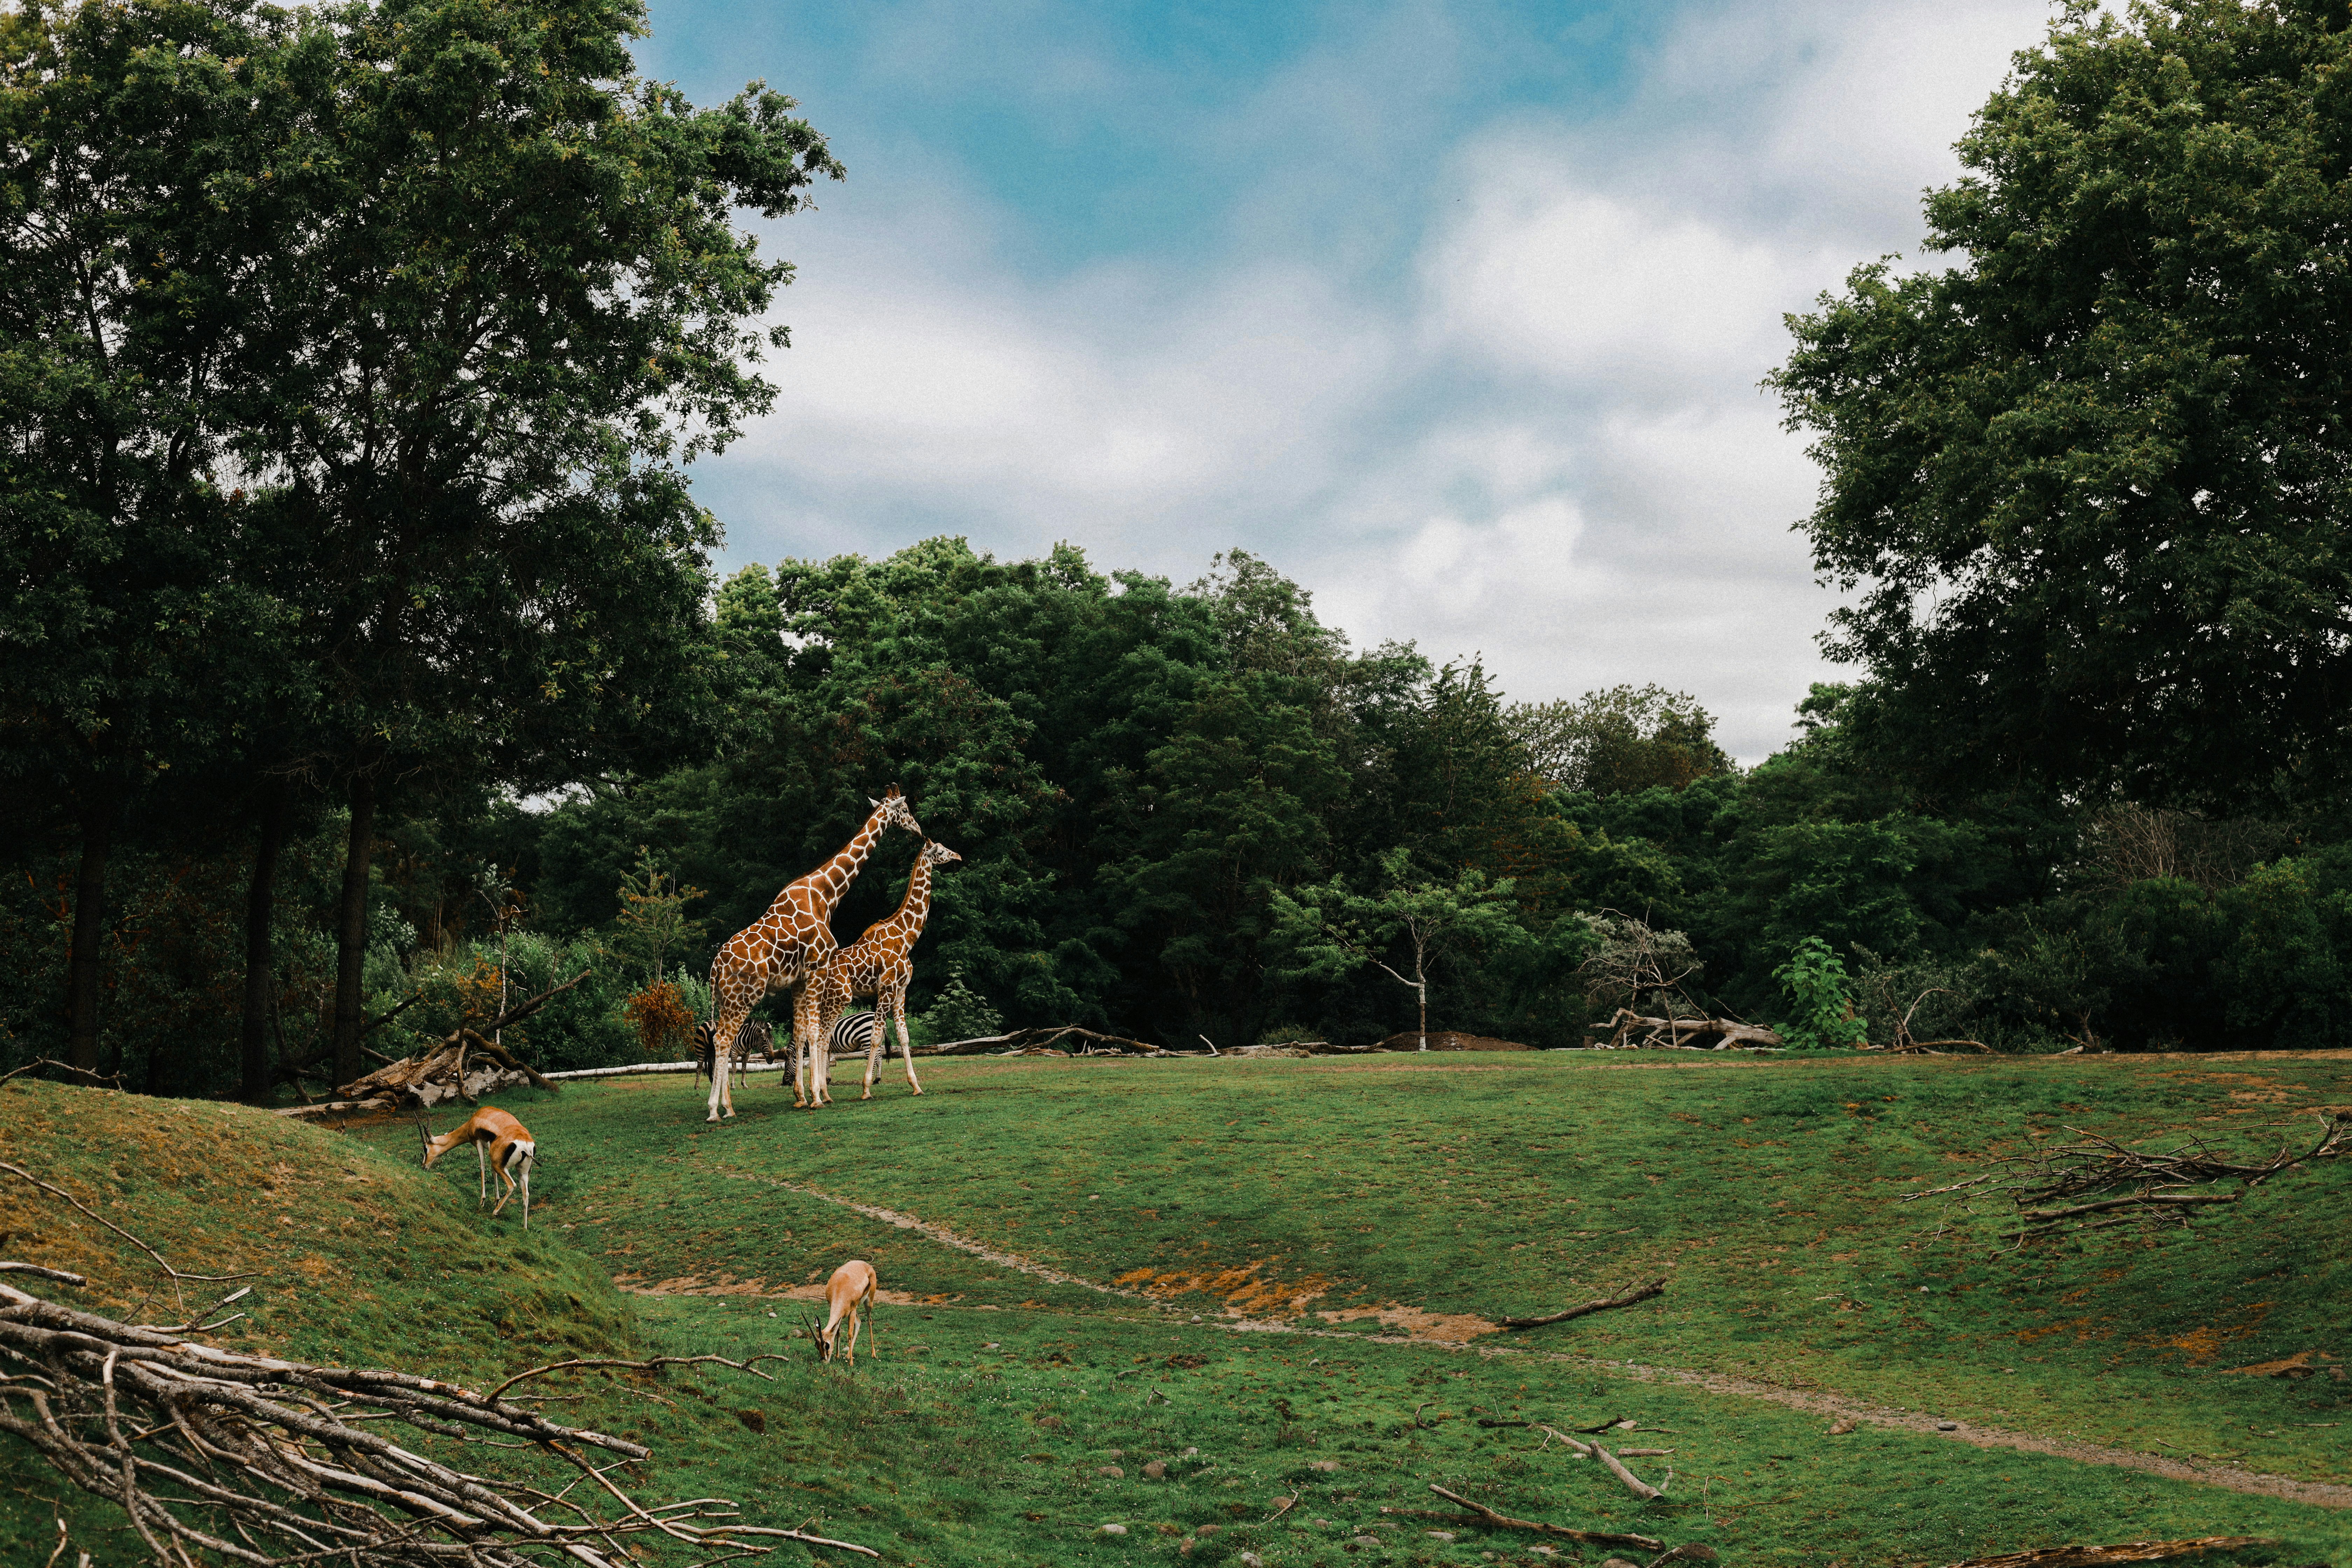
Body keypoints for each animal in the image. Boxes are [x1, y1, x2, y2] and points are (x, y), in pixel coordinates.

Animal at [704, 788, 921, 1122]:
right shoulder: (817, 968)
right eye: (906, 810)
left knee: (723, 1042)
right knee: (723, 1040)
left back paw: (728, 1107)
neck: (826, 894)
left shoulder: (799, 979)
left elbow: (802, 1034)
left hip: (728, 999)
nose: (919, 830)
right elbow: (817, 1033)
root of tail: (716, 967)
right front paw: (818, 1097)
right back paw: (716, 1110)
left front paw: (801, 1096)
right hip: (745, 995)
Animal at [810, 840, 962, 1101]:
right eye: (941, 851)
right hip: (839, 998)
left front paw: (916, 1086)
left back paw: (823, 1094)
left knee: (823, 1038)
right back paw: (821, 1094)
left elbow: (904, 1037)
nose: (958, 856)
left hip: (829, 1001)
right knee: (821, 1039)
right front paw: (866, 1088)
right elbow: (876, 1037)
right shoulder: (887, 989)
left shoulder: (901, 992)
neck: (907, 937)